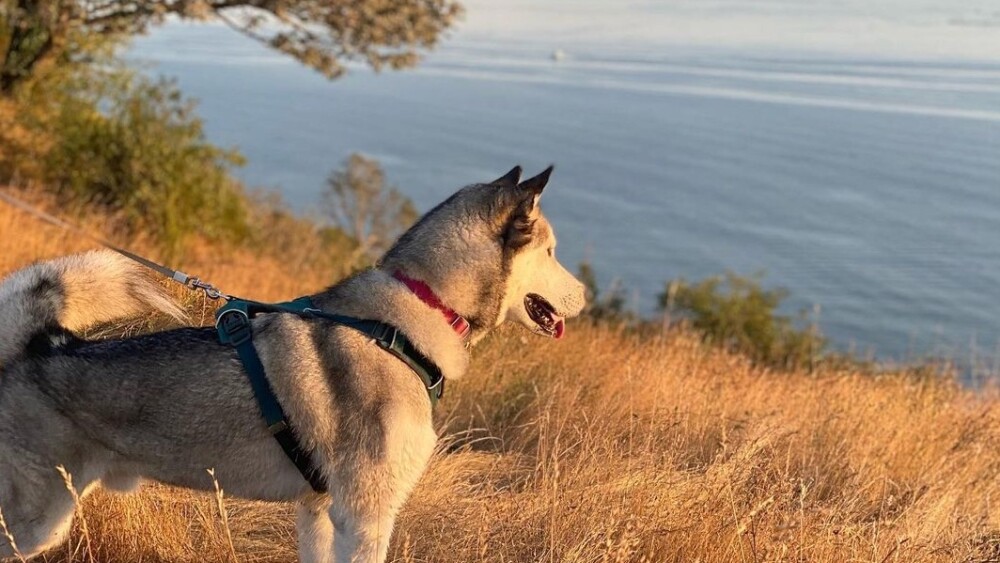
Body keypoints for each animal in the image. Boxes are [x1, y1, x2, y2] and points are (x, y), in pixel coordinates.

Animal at [0, 167, 584, 563]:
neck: (410, 315)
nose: (583, 297)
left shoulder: (320, 512)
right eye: (552, 252)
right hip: (34, 521)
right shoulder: (366, 517)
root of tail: (31, 348)